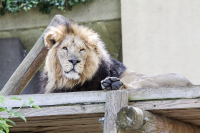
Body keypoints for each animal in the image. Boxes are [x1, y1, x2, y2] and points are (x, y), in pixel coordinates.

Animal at [39, 20, 194, 93]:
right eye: (64, 48)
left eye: (81, 50)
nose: (74, 61)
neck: (65, 81)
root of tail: (190, 83)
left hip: (154, 79)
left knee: (135, 88)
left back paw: (114, 85)